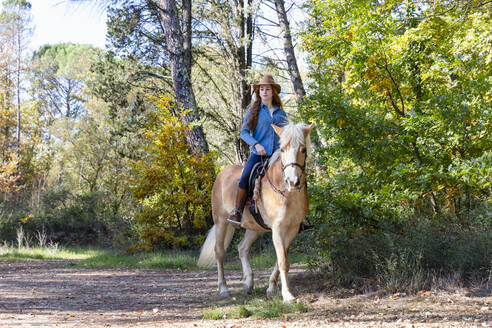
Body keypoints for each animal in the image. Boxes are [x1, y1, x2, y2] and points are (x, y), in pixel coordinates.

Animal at [196, 121, 312, 304]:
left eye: (303, 150)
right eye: (283, 149)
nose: (292, 181)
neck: (287, 193)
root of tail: (222, 173)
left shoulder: (292, 229)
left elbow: (281, 259)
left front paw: (271, 289)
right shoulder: (278, 228)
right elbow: (283, 262)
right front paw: (287, 295)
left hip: (254, 227)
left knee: (242, 248)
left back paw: (248, 283)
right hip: (221, 222)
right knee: (219, 252)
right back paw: (223, 289)